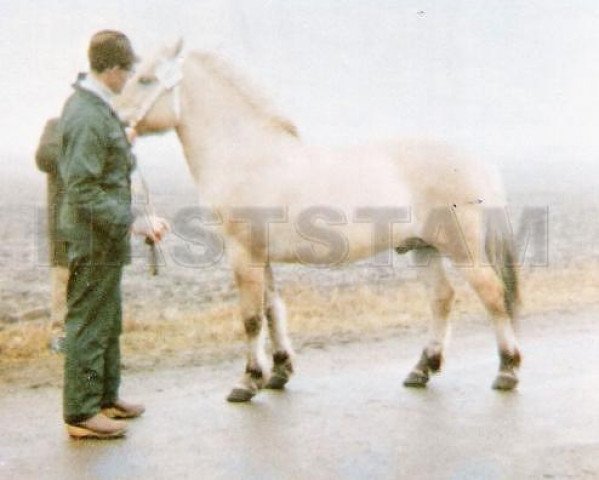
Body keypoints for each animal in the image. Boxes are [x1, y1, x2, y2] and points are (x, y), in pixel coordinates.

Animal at [115, 40, 524, 402]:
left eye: (146, 79)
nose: (117, 118)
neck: (249, 156)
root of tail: (477, 160)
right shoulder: (261, 256)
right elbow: (271, 309)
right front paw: (279, 372)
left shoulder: (243, 253)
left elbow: (251, 317)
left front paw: (247, 382)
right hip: (424, 248)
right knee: (441, 298)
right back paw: (422, 369)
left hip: (460, 248)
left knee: (492, 294)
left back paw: (506, 371)